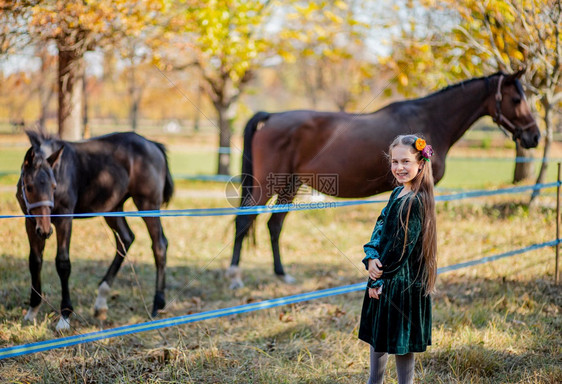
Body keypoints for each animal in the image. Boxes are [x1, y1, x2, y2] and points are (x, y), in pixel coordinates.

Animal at [16, 131, 173, 330]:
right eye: (29, 187)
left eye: (53, 186)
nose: (45, 231)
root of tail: (153, 144)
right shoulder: (30, 222)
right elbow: (35, 262)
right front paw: (32, 312)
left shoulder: (64, 219)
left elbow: (63, 263)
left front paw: (65, 317)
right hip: (113, 208)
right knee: (126, 238)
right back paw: (101, 302)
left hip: (147, 204)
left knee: (159, 245)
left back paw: (157, 305)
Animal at [226, 69, 540, 288]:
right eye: (516, 99)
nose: (534, 136)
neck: (431, 119)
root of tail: (272, 116)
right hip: (268, 184)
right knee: (244, 221)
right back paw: (235, 276)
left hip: (290, 184)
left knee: (274, 225)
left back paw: (283, 276)